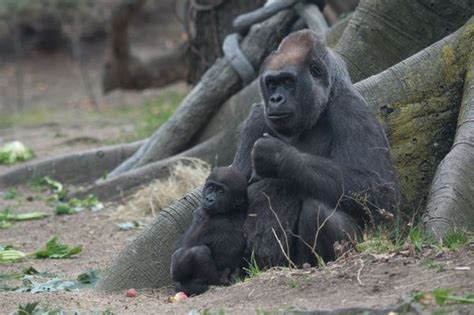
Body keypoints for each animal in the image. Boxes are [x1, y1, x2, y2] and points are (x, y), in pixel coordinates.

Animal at [170, 168, 248, 296]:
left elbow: (180, 256)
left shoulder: (204, 218)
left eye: (221, 192)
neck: (231, 209)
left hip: (216, 281)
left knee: (196, 251)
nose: (209, 199)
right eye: (210, 188)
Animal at [233, 29, 400, 268]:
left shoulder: (352, 108)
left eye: (288, 81)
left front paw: (281, 157)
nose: (275, 99)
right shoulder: (255, 118)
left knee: (318, 210)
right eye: (272, 84)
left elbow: (381, 193)